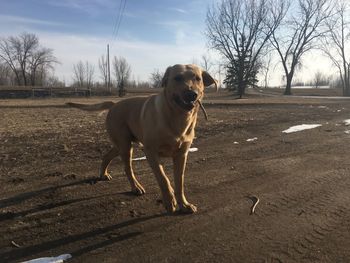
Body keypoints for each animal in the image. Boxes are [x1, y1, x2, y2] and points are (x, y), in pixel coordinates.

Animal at [66, 64, 216, 214]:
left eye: (198, 79)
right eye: (177, 78)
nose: (192, 94)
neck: (177, 118)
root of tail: (114, 104)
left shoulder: (182, 155)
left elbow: (179, 183)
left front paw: (184, 204)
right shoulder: (150, 152)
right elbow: (163, 179)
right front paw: (169, 201)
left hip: (122, 145)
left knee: (107, 156)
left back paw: (104, 174)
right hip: (125, 145)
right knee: (128, 169)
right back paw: (136, 188)